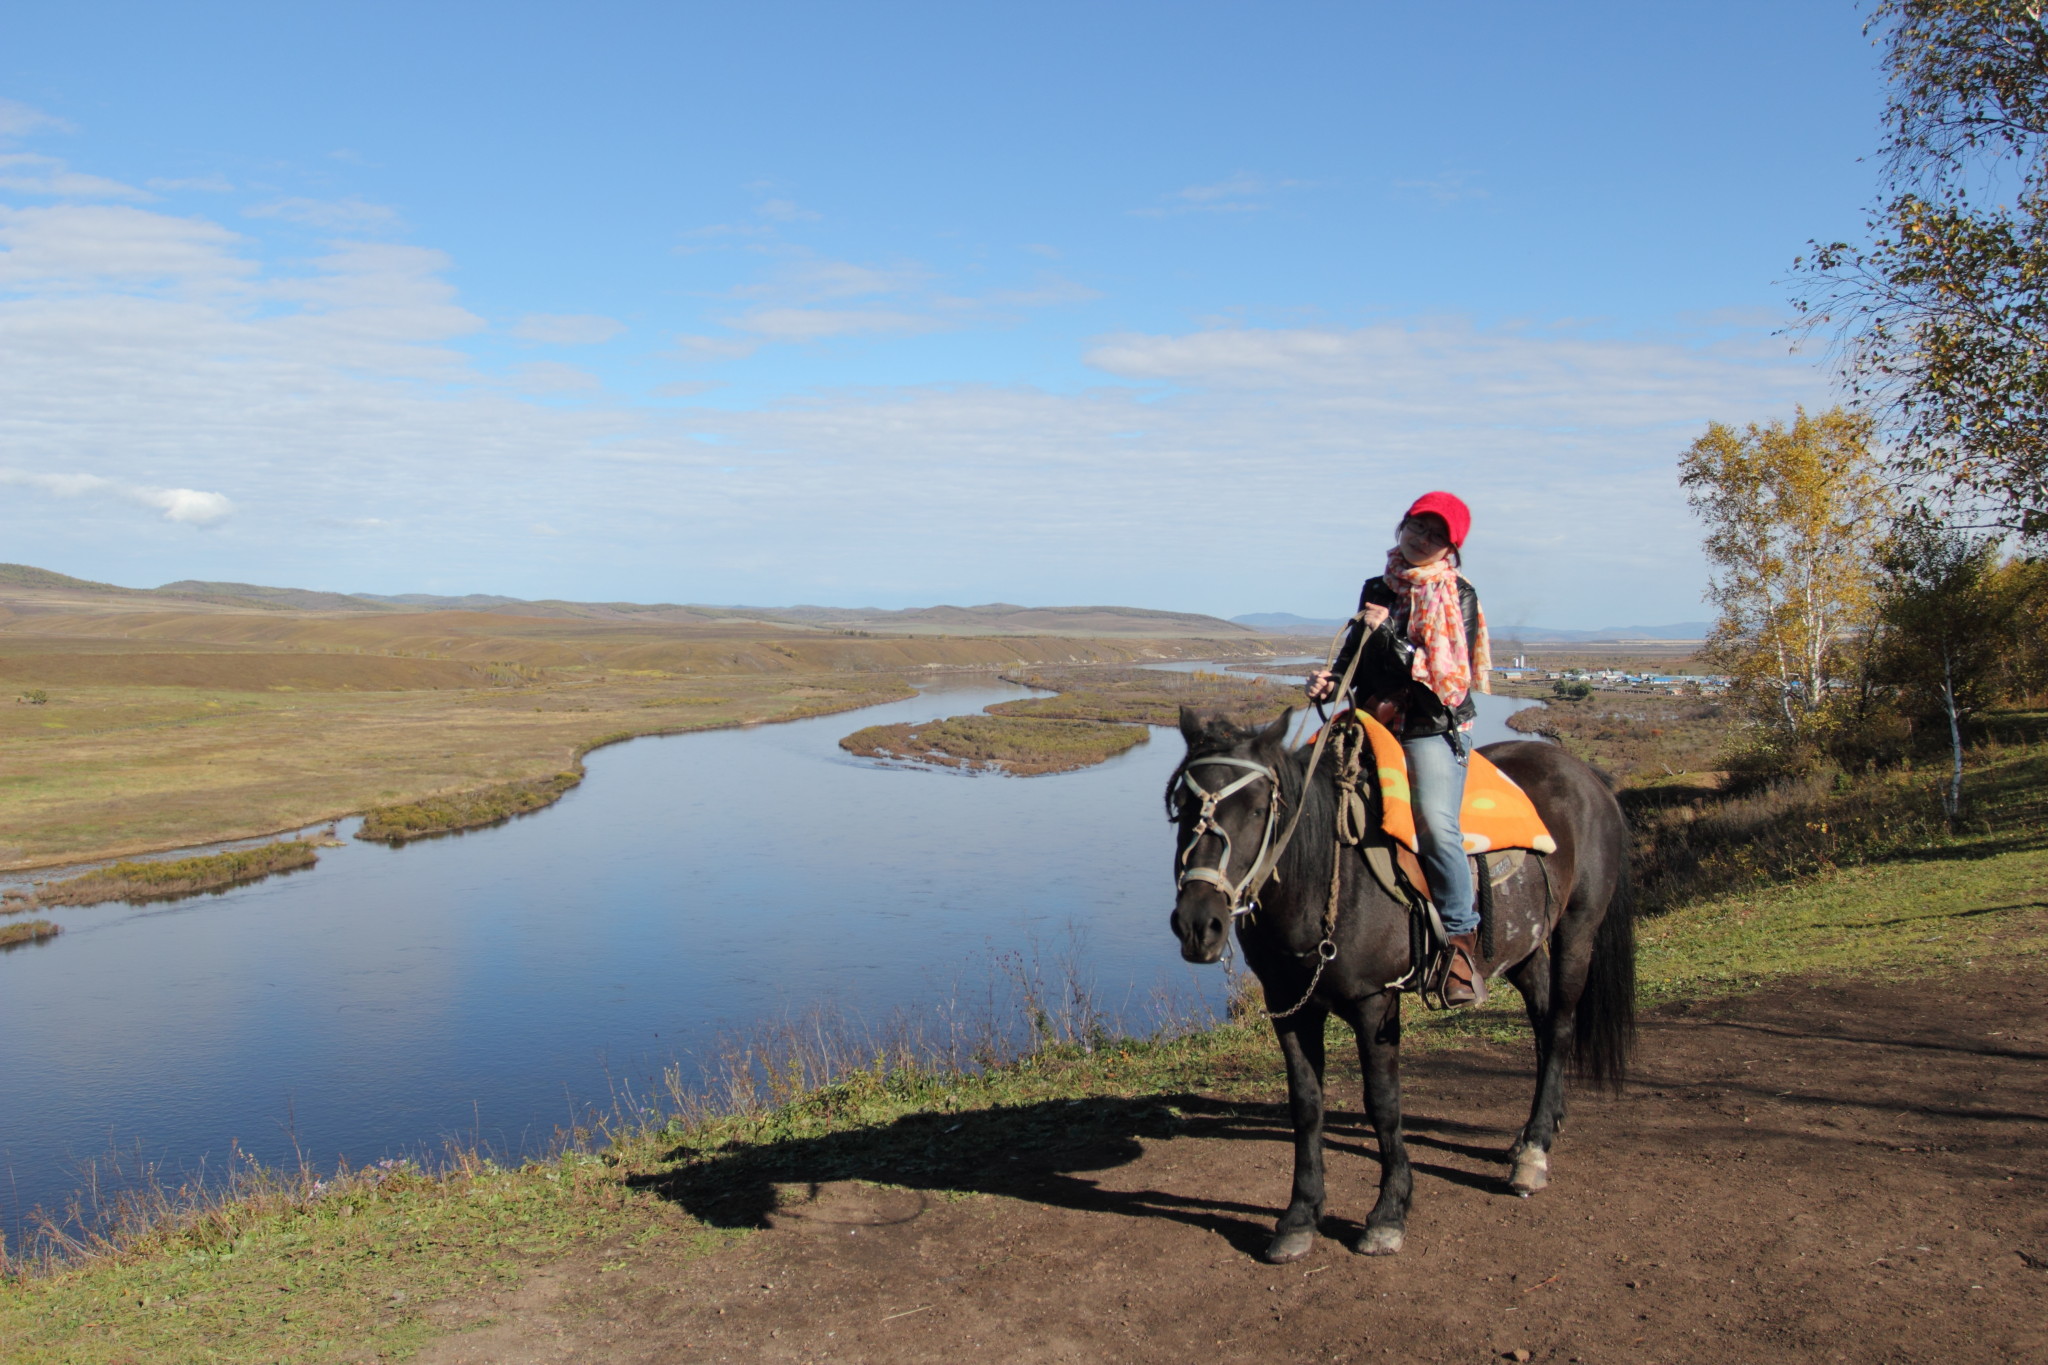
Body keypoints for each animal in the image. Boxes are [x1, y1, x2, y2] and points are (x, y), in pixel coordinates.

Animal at [1171, 712, 1630, 1268]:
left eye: (1260, 808)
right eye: (1182, 805)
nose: (1199, 925)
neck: (1326, 876)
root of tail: (1587, 776)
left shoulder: (1375, 1005)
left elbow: (1383, 1104)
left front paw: (1388, 1215)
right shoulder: (1289, 1009)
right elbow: (1306, 1105)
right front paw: (1300, 1218)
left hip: (1577, 931)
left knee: (1560, 1027)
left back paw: (1535, 1152)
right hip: (1520, 947)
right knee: (1543, 1023)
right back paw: (1532, 1134)